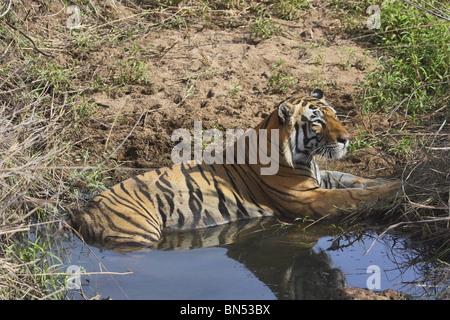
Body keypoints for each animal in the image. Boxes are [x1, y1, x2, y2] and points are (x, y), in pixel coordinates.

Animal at [70, 89, 400, 250]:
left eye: (335, 115)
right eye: (318, 122)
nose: (347, 139)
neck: (306, 158)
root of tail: (83, 212)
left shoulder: (322, 179)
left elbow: (356, 180)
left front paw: (390, 178)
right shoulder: (308, 199)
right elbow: (353, 196)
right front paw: (397, 190)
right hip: (139, 233)